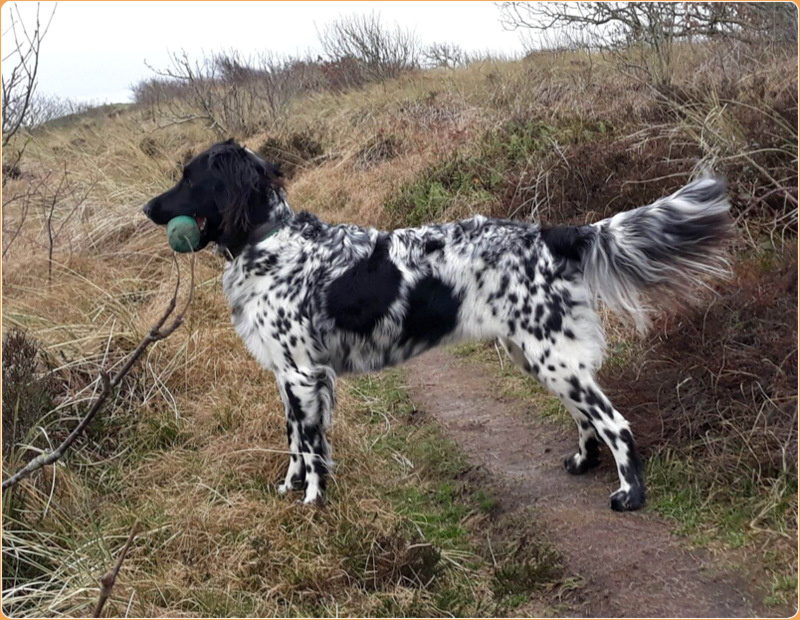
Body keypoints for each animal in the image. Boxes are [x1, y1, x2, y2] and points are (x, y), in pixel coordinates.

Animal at [144, 139, 732, 508]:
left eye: (190, 177)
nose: (148, 208)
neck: (271, 240)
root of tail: (551, 233)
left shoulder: (303, 374)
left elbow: (311, 448)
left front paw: (313, 504)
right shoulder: (289, 375)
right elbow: (294, 442)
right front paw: (289, 493)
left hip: (552, 356)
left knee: (615, 422)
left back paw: (630, 495)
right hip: (539, 354)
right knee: (587, 417)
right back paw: (581, 464)